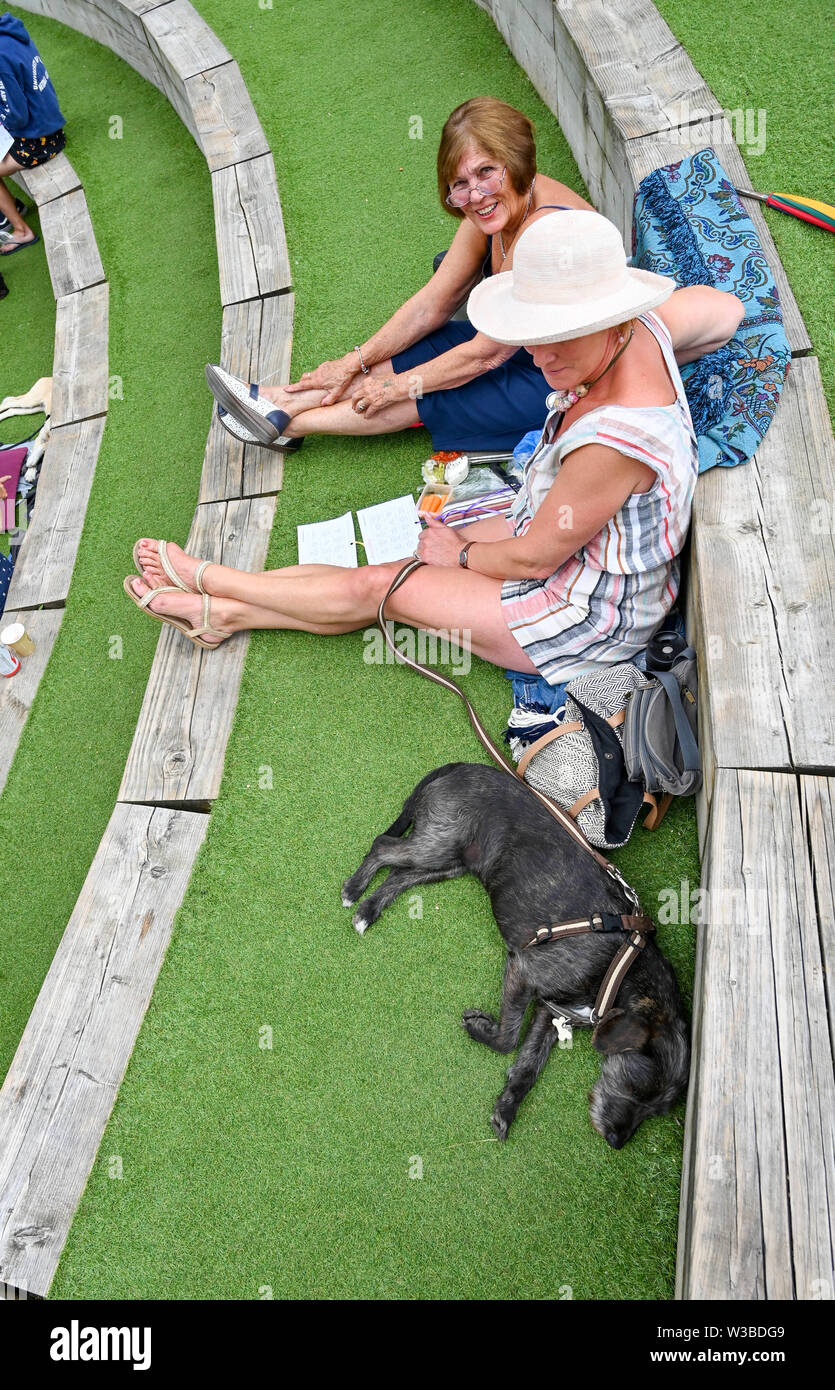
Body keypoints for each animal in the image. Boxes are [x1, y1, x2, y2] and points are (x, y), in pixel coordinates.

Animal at [341, 767, 686, 1145]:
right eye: (638, 1085)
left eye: (656, 1111)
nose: (616, 1142)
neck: (622, 966)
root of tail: (460, 766)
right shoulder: (525, 972)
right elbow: (507, 1040)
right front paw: (478, 1026)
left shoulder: (552, 1012)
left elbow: (527, 1067)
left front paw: (507, 1106)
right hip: (436, 845)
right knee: (382, 846)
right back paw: (354, 888)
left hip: (450, 862)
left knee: (400, 875)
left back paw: (368, 910)